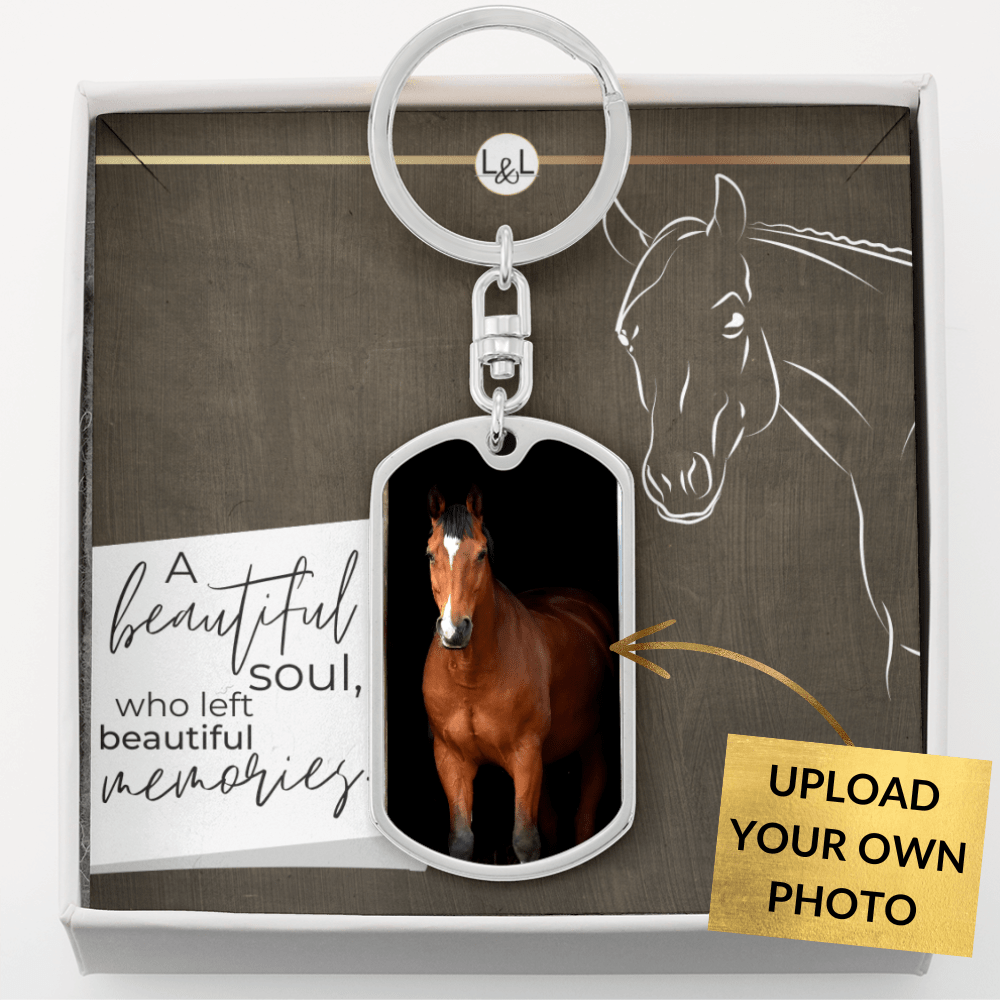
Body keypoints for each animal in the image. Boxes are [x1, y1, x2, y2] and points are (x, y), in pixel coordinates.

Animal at [422, 484, 613, 863]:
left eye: (481, 554)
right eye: (431, 555)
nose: (454, 631)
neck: (472, 677)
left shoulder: (525, 756)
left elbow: (525, 839)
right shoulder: (450, 758)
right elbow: (461, 840)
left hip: (590, 743)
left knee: (584, 816)